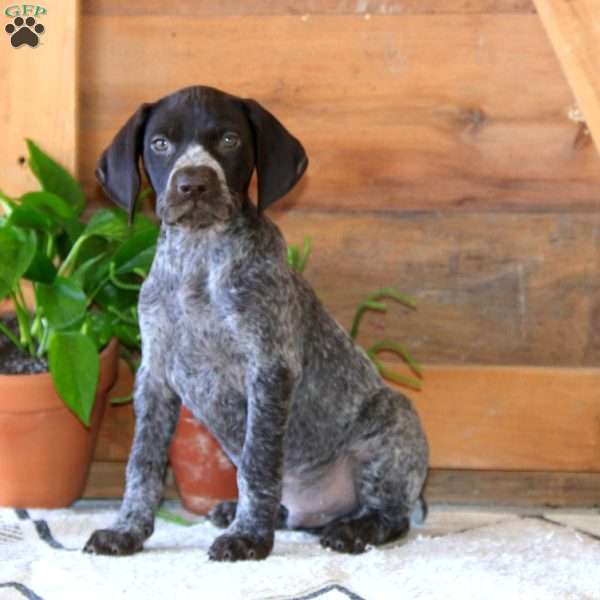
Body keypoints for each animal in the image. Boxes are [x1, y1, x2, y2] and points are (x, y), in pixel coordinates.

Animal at [85, 86, 432, 560]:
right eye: (160, 143)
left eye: (229, 140)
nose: (193, 183)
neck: (199, 258)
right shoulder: (153, 376)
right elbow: (142, 464)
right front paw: (127, 530)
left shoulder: (268, 368)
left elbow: (257, 463)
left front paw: (248, 537)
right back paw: (241, 511)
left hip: (392, 425)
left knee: (392, 516)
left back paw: (352, 530)